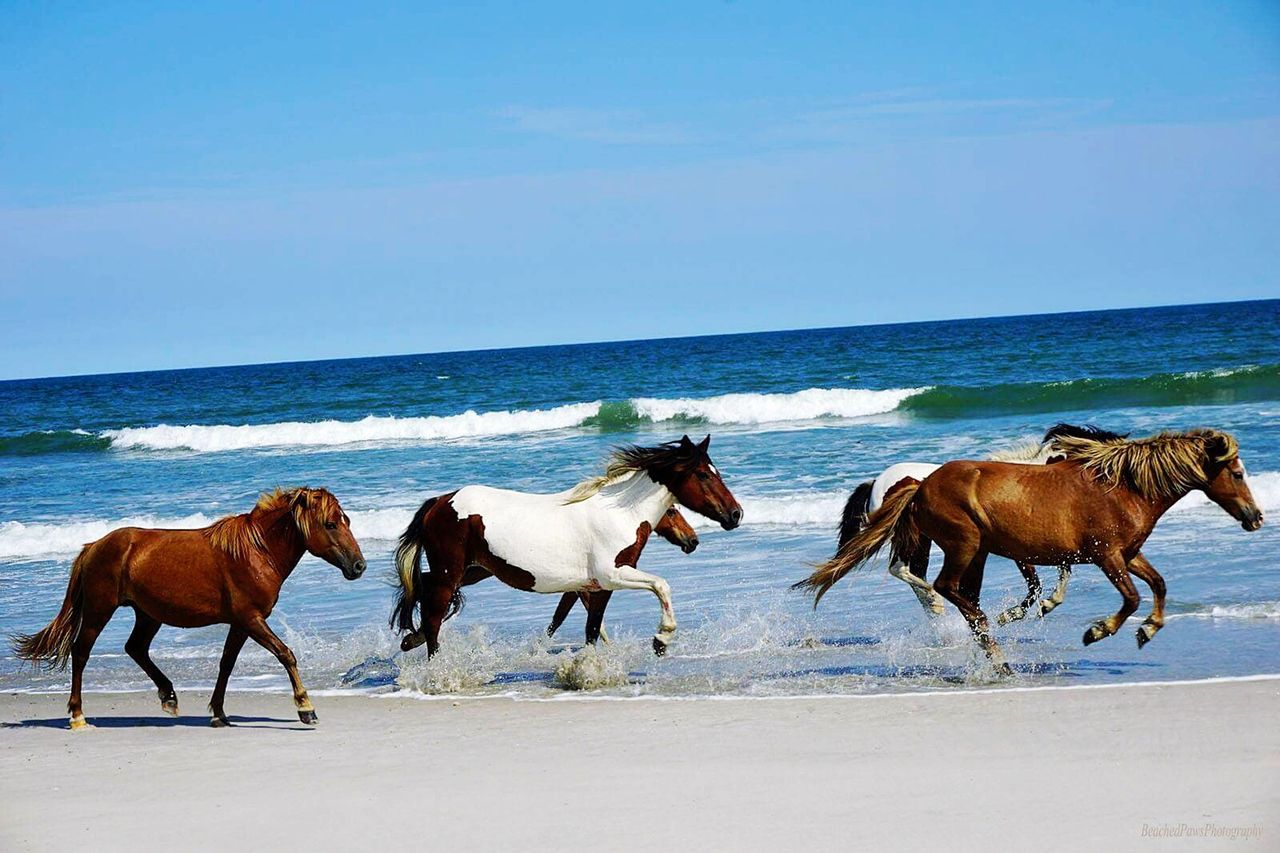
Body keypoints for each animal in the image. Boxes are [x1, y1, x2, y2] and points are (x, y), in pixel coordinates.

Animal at [10, 487, 366, 729]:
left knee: (135, 648)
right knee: (81, 652)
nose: (359, 566)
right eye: (331, 524)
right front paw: (306, 708)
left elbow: (226, 664)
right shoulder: (251, 619)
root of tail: (93, 546)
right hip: (100, 610)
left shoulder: (242, 623)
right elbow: (285, 654)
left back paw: (169, 696)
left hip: (148, 614)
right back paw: (78, 715)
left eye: (346, 520)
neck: (256, 552)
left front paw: (219, 713)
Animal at [391, 434, 741, 657]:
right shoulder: (612, 575)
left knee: (423, 594)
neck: (618, 514)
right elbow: (661, 585)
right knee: (433, 618)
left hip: (473, 571)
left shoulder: (597, 587)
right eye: (703, 475)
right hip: (450, 574)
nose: (735, 514)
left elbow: (590, 629)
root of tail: (440, 501)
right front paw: (661, 639)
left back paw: (411, 640)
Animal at [835, 423, 1128, 623]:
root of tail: (876, 482)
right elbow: (1036, 584)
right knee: (901, 569)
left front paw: (1047, 605)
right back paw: (937, 602)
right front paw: (1012, 615)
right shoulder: (1021, 549)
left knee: (914, 574)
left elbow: (1062, 571)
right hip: (912, 537)